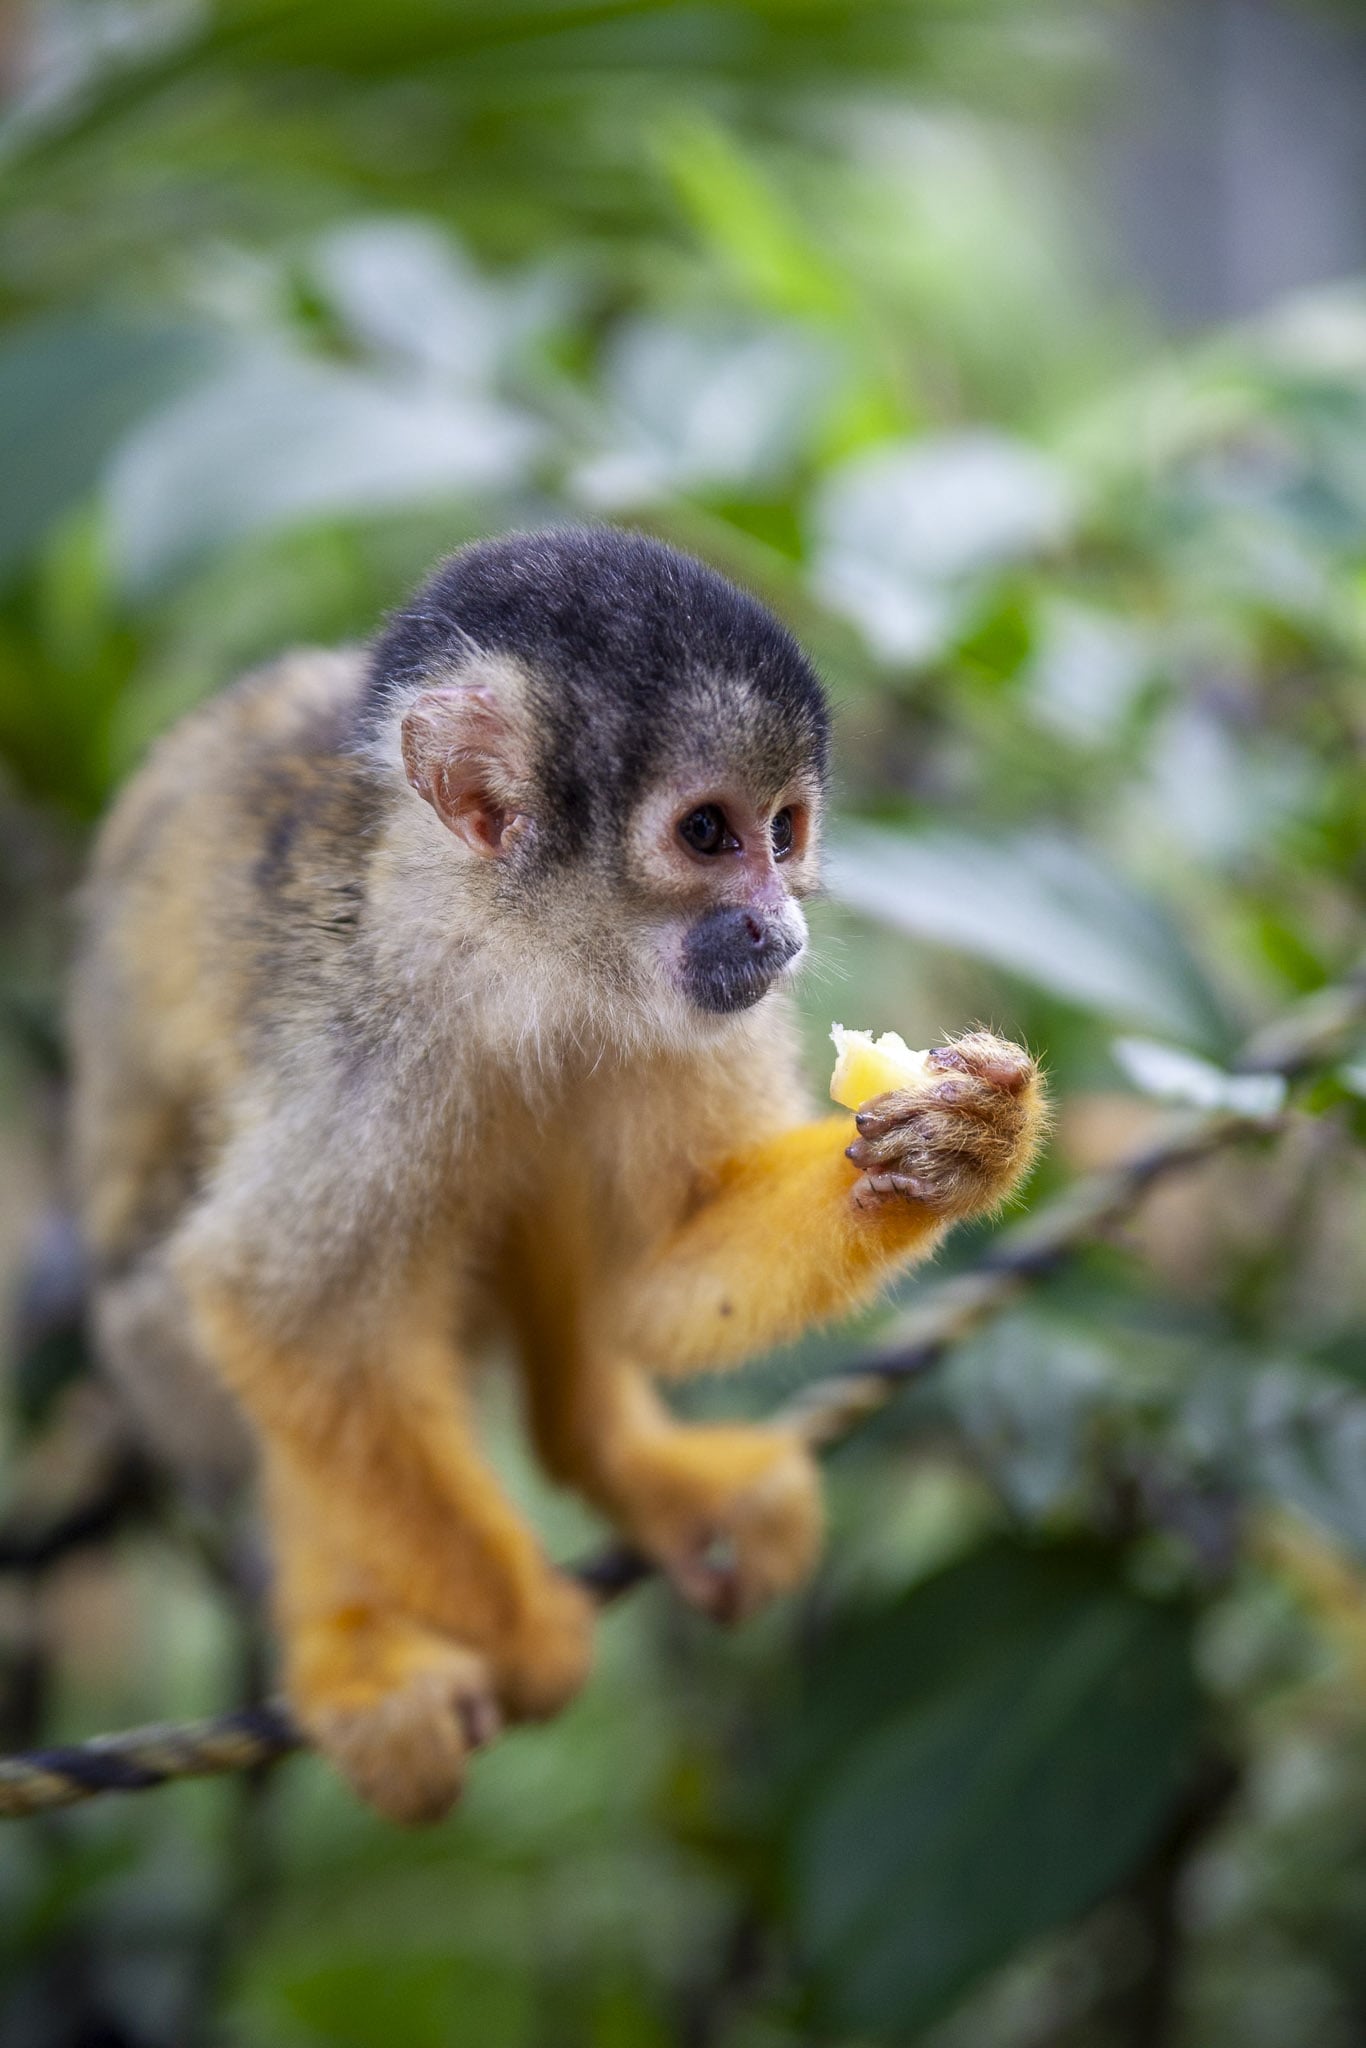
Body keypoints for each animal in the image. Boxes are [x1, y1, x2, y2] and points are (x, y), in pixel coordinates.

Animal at [67, 527, 1045, 1824]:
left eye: (784, 829)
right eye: (707, 832)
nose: (780, 931)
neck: (518, 966)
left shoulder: (702, 1011)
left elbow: (658, 1281)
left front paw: (964, 1141)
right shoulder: (362, 1041)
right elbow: (274, 1310)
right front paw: (527, 1628)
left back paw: (615, 1458)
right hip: (148, 1361)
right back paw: (354, 1640)